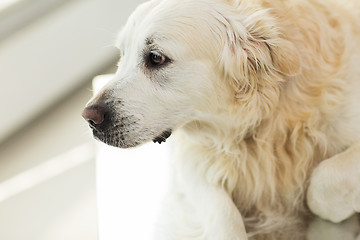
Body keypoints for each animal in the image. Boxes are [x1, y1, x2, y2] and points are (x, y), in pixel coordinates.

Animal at [81, 0, 360, 239]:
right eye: (123, 54)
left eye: (156, 58)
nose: (89, 117)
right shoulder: (189, 159)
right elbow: (222, 217)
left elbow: (321, 185)